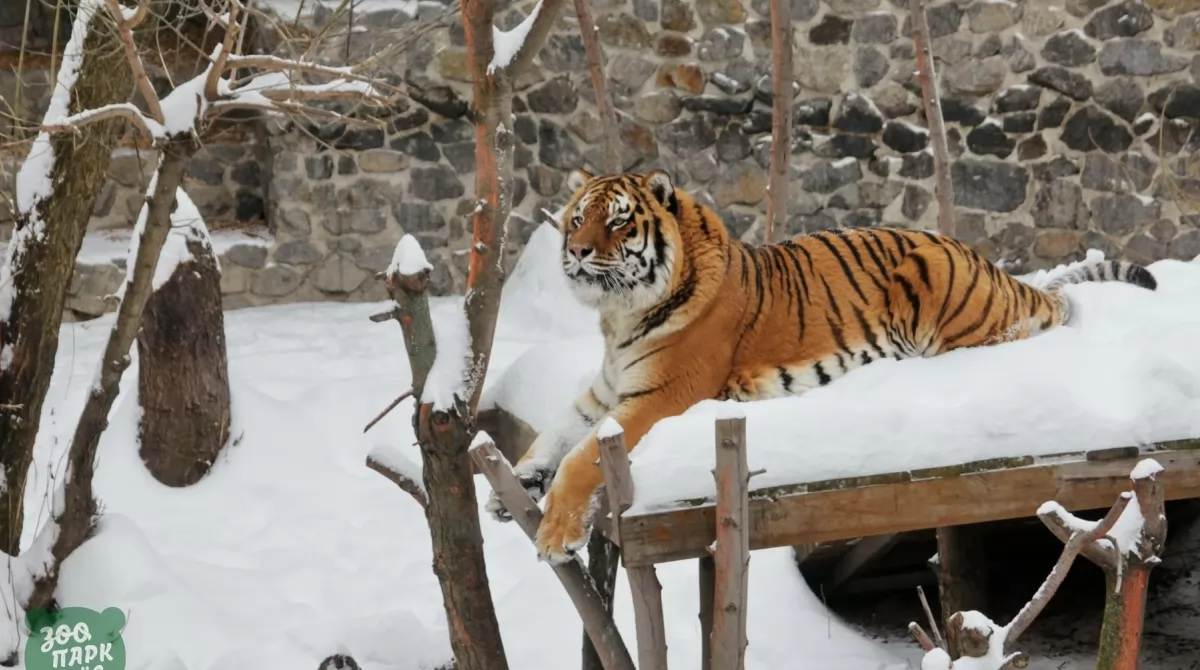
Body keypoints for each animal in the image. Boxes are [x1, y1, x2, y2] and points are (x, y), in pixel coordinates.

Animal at [486, 168, 1158, 565]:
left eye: (618, 220)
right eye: (578, 217)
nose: (575, 252)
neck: (619, 316)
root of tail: (988, 263)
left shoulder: (662, 395)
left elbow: (580, 459)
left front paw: (555, 533)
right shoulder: (603, 393)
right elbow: (554, 434)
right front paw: (513, 484)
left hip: (951, 300)